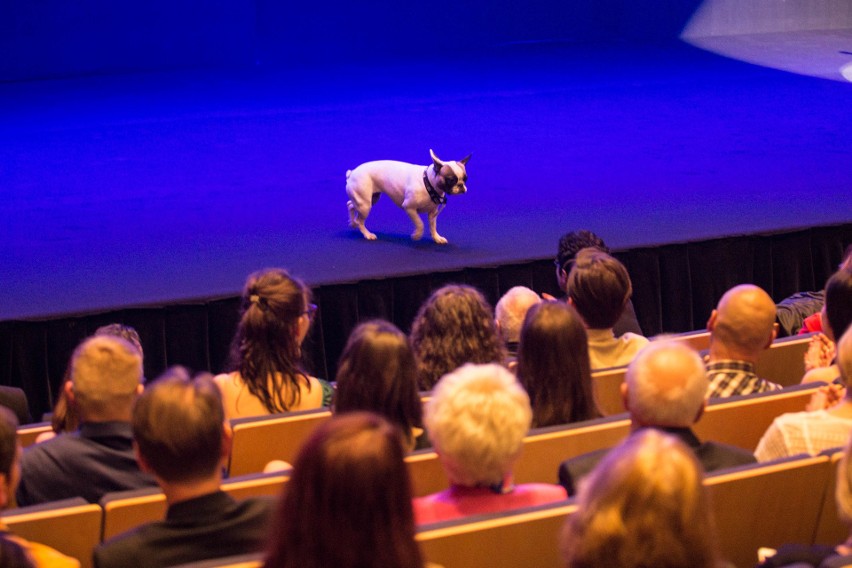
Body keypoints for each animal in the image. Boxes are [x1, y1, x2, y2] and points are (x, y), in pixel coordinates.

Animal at [342, 149, 470, 244]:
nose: (461, 185)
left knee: (350, 205)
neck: (428, 183)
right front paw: (417, 235)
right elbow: (420, 223)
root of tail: (351, 173)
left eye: (465, 179)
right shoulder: (409, 208)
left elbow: (433, 225)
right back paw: (367, 234)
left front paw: (436, 238)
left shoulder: (433, 213)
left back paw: (352, 222)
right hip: (365, 205)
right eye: (450, 180)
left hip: (369, 199)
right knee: (360, 220)